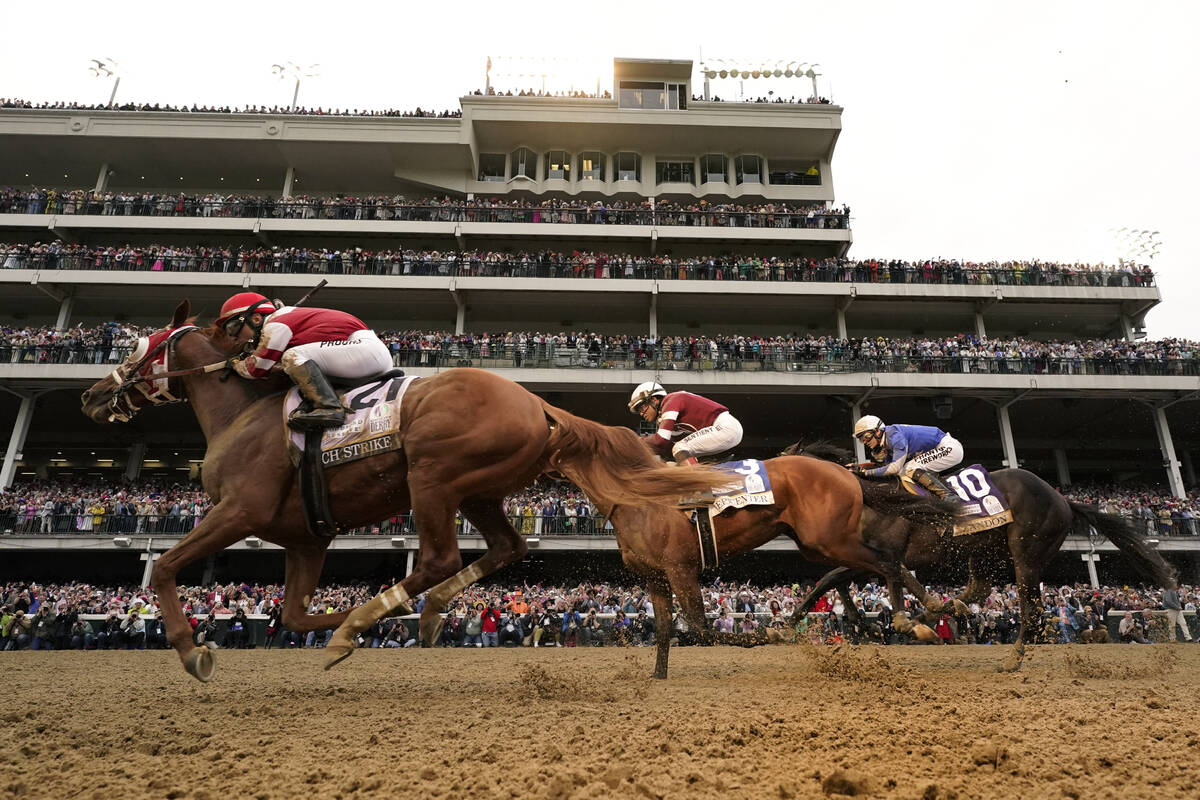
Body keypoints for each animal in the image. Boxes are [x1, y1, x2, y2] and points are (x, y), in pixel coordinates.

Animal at [84, 302, 724, 681]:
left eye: (138, 346)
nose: (91, 396)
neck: (242, 415)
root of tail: (537, 403)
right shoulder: (305, 539)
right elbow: (292, 614)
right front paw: (354, 624)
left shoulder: (239, 510)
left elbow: (168, 567)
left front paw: (192, 648)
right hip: (477, 490)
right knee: (506, 548)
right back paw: (423, 613)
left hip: (432, 475)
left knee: (441, 556)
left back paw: (377, 621)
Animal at [782, 441, 1176, 671]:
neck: (867, 494)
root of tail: (1063, 498)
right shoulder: (860, 552)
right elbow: (831, 579)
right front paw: (808, 621)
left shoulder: (886, 550)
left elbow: (887, 576)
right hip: (985, 550)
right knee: (980, 590)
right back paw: (945, 610)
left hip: (1026, 552)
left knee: (1032, 609)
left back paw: (1010, 659)